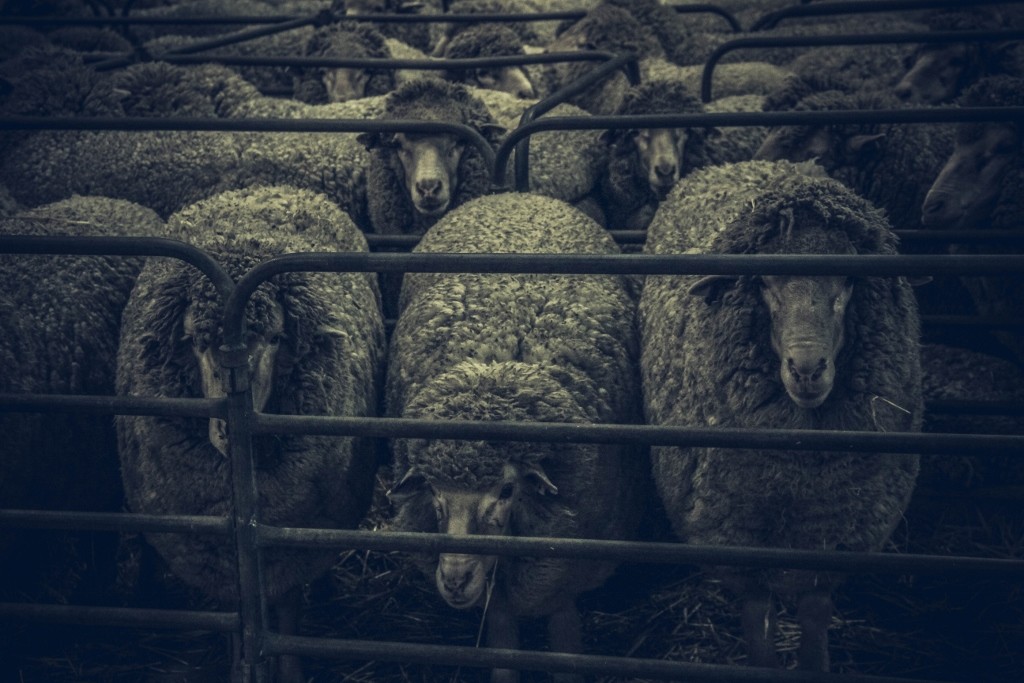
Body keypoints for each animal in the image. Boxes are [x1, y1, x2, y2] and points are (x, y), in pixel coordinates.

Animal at [115, 184, 386, 683]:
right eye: (194, 341)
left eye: (277, 338)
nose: (226, 429)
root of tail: (267, 187)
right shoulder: (217, 556)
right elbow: (235, 623)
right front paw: (238, 661)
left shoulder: (287, 547)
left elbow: (287, 615)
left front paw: (289, 669)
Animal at [385, 191, 646, 683]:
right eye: (434, 493)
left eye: (506, 491)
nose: (456, 580)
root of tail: (516, 193)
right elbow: (503, 644)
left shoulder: (563, 569)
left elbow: (564, 641)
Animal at [640, 159, 923, 672]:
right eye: (764, 283)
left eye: (848, 282)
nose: (807, 368)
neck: (799, 476)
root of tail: (741, 162)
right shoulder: (736, 541)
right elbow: (759, 620)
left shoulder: (833, 537)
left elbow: (813, 614)